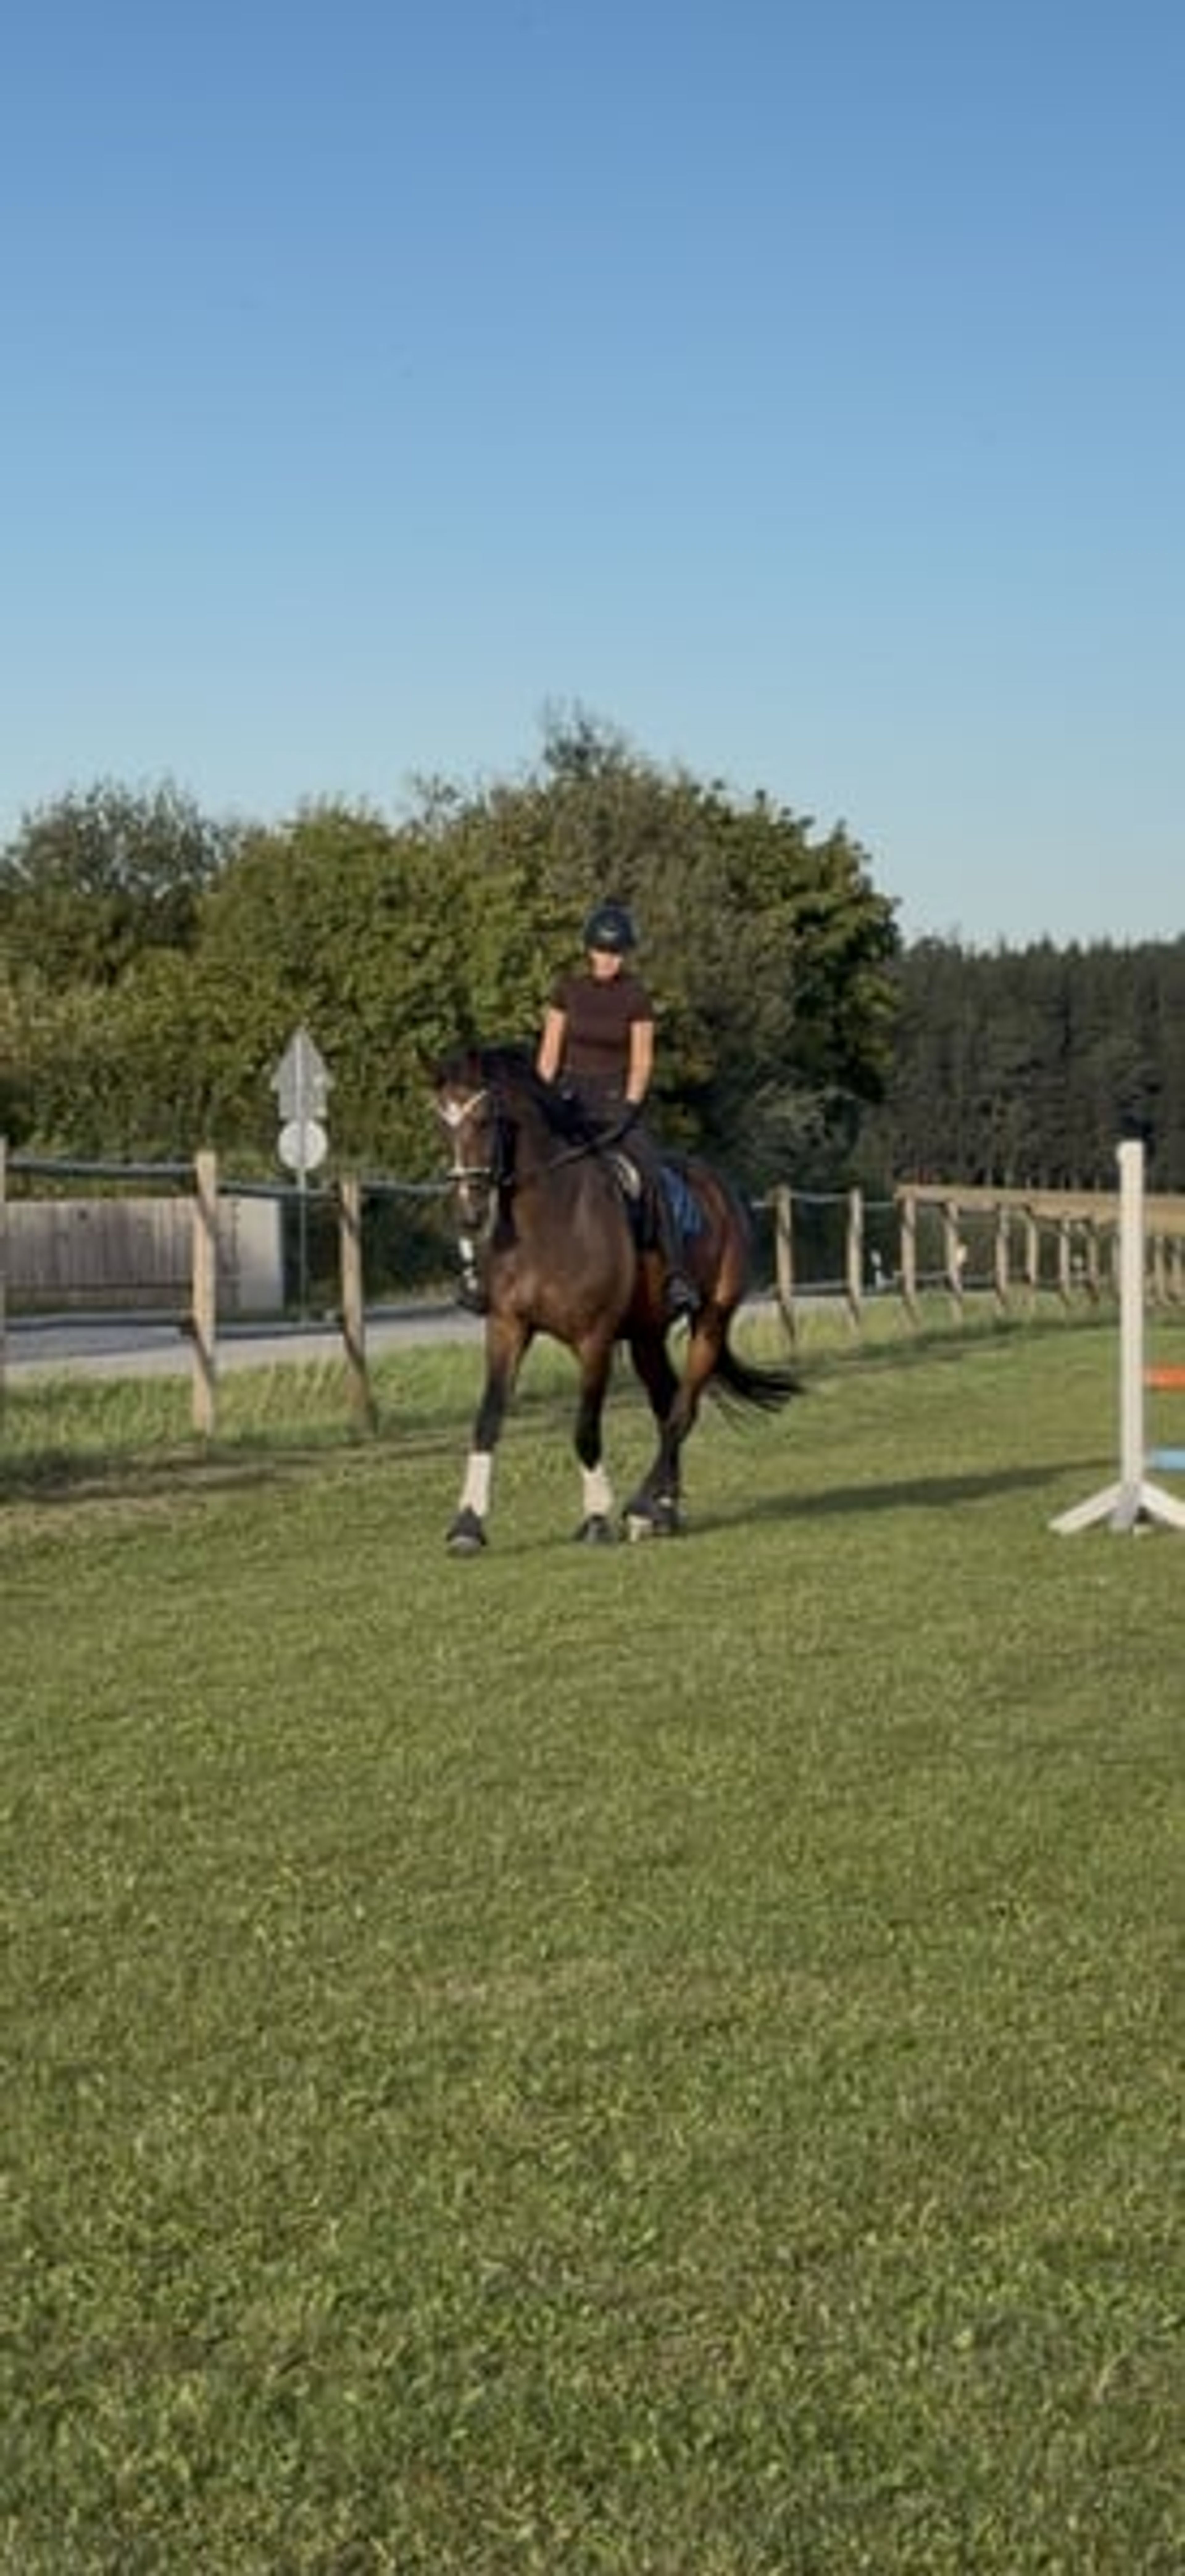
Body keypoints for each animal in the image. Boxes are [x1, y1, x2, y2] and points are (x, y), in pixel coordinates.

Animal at [431, 1042, 801, 1552]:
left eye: (486, 1119)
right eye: (442, 1122)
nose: (468, 1213)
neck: (547, 1219)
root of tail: (718, 1185)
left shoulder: (595, 1339)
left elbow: (586, 1428)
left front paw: (596, 1517)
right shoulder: (508, 1327)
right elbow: (487, 1420)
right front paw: (467, 1525)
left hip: (711, 1321)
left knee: (683, 1410)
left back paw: (643, 1508)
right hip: (646, 1336)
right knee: (667, 1404)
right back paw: (665, 1509)